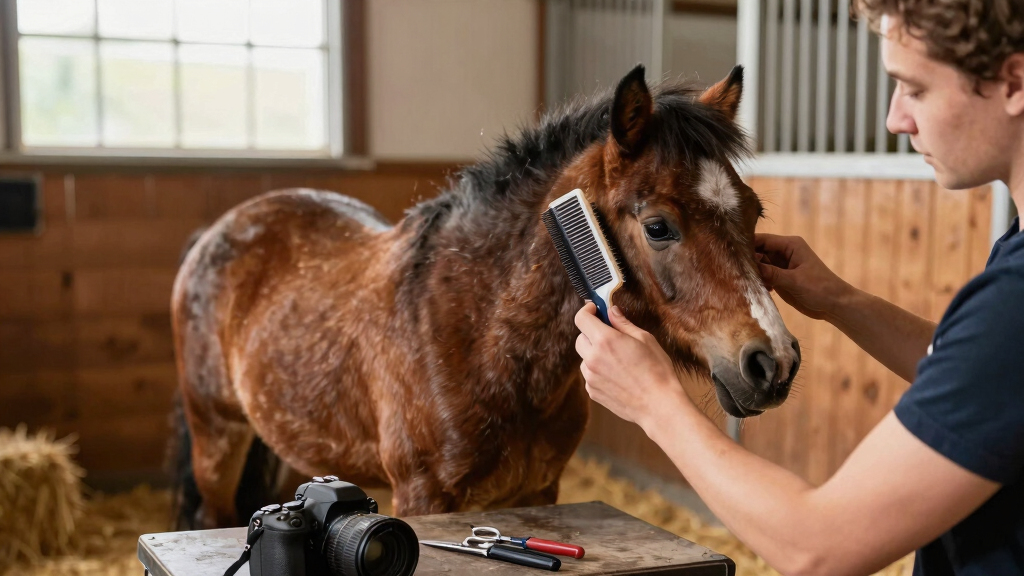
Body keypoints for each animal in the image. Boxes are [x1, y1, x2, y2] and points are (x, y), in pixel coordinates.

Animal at [172, 64, 801, 529]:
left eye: (753, 212)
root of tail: (215, 233)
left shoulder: (539, 492)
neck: (483, 338)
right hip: (216, 439)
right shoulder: (421, 498)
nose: (773, 363)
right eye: (658, 226)